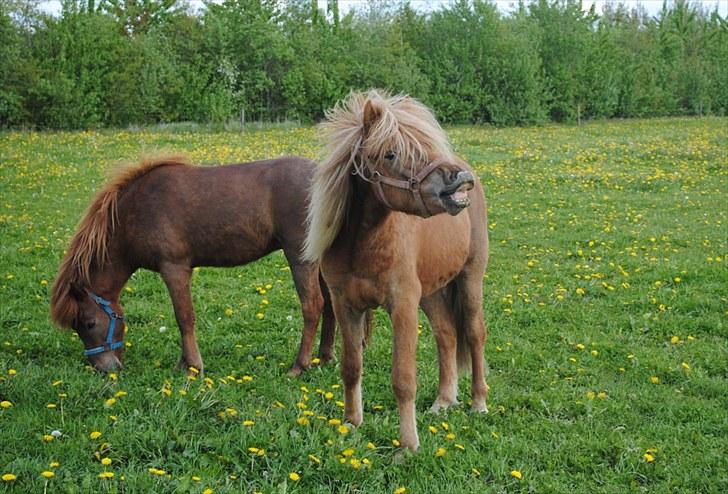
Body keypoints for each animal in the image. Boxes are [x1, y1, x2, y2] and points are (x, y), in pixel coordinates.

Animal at [51, 156, 336, 376]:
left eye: (88, 323)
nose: (104, 369)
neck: (137, 211)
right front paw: (183, 363)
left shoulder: (175, 269)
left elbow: (184, 317)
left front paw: (193, 367)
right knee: (330, 304)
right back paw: (325, 357)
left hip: (301, 258)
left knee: (313, 306)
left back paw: (299, 366)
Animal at [302, 91, 490, 452]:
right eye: (390, 154)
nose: (458, 180)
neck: (363, 247)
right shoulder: (346, 305)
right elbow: (351, 367)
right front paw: (351, 423)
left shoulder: (402, 305)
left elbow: (403, 378)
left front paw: (407, 445)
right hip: (431, 292)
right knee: (446, 334)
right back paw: (443, 401)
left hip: (471, 279)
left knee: (474, 334)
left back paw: (478, 403)